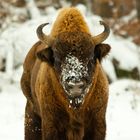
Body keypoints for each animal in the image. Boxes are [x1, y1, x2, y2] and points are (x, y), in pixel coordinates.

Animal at [20, 7, 110, 140]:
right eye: (57, 59)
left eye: (90, 58)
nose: (75, 85)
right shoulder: (51, 124)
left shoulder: (97, 123)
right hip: (32, 114)